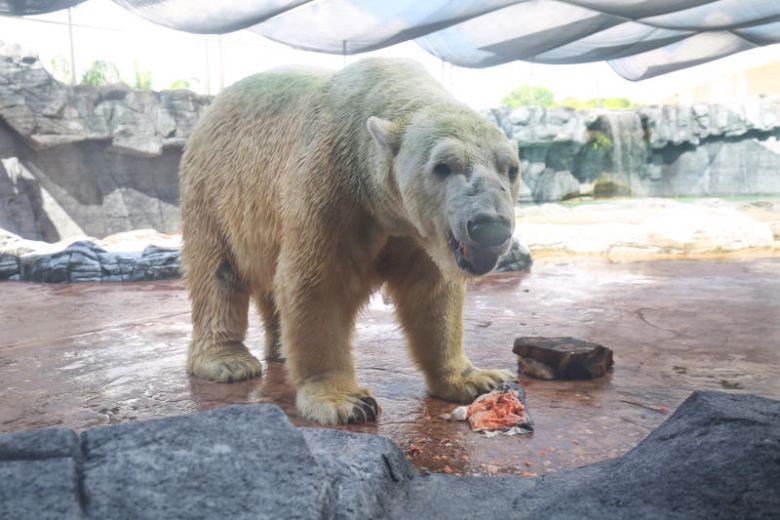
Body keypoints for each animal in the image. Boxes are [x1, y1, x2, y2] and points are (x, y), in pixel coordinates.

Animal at [179, 58, 521, 424]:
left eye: (511, 169)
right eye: (442, 166)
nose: (490, 225)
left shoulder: (416, 231)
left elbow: (432, 294)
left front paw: (479, 378)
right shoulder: (333, 184)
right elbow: (316, 282)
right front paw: (345, 400)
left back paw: (280, 350)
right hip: (214, 189)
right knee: (217, 272)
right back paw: (228, 361)